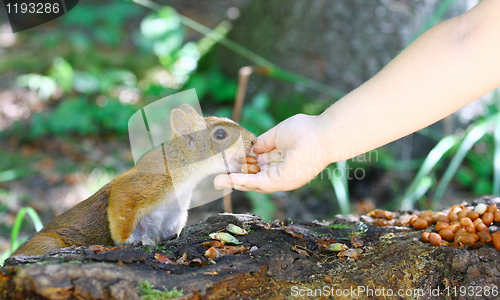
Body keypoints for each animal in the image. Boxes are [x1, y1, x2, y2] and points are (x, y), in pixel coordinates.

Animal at [12, 104, 258, 256]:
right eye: (220, 134)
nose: (255, 140)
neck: (185, 176)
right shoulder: (141, 184)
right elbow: (121, 210)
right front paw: (128, 242)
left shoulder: (174, 213)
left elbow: (169, 230)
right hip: (47, 243)